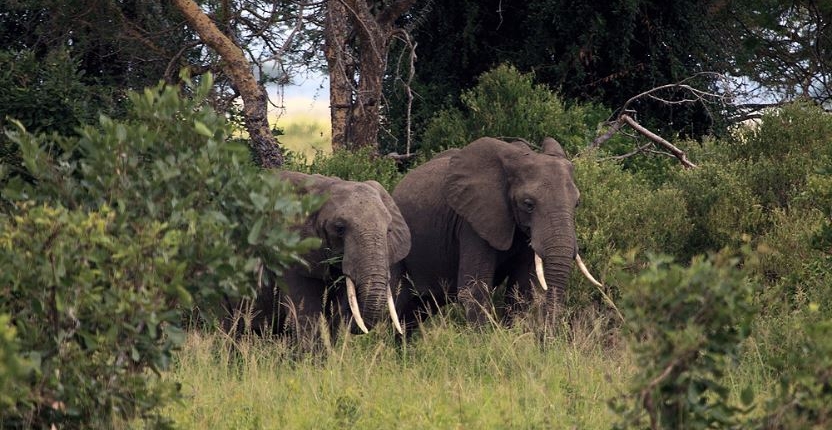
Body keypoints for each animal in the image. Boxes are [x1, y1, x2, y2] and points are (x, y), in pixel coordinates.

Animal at [390, 136, 600, 330]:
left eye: (577, 203)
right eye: (528, 204)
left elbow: (521, 291)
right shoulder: (472, 220)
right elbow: (475, 290)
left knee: (418, 309)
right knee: (398, 303)